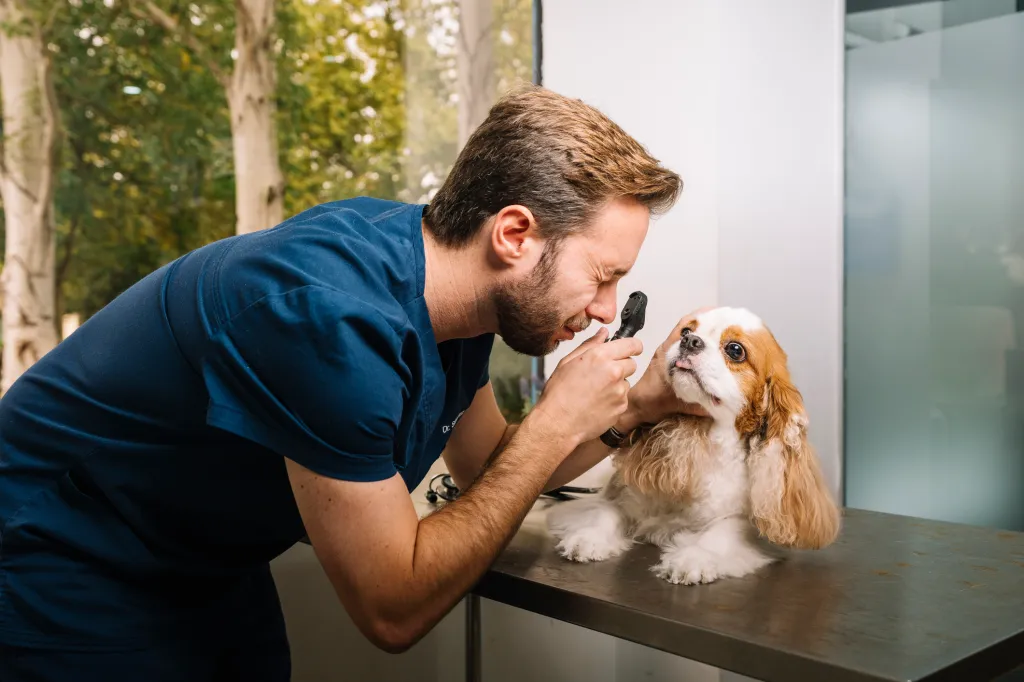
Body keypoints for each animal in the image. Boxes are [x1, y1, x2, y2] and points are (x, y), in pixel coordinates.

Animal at [548, 305, 835, 581]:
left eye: (735, 350)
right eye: (685, 331)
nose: (690, 341)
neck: (707, 441)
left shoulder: (750, 524)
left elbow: (723, 530)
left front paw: (693, 558)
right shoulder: (622, 493)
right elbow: (607, 510)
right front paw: (588, 538)